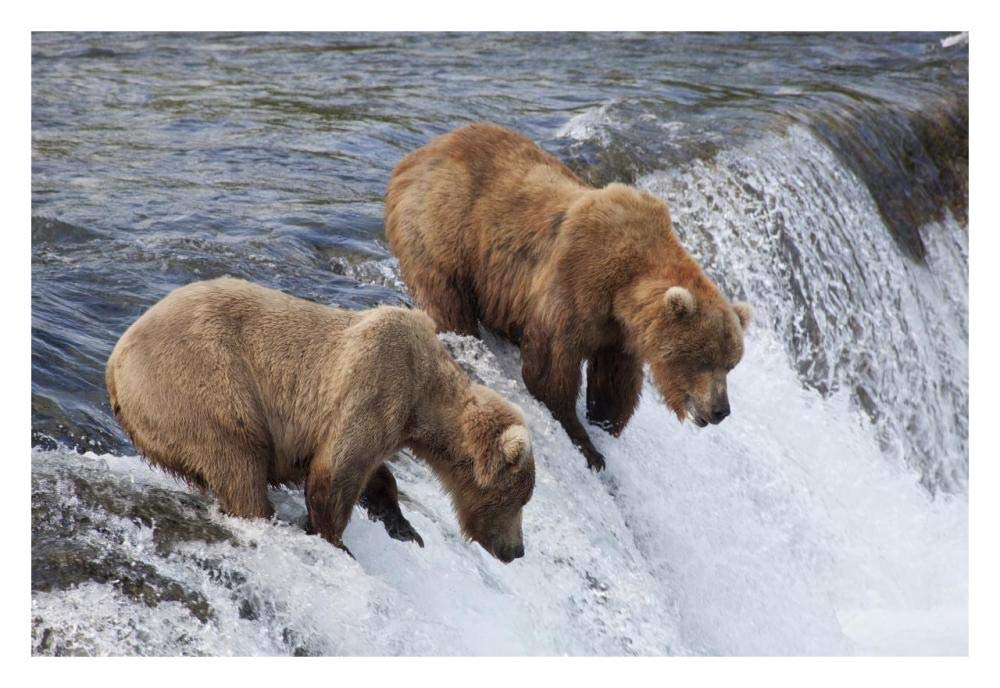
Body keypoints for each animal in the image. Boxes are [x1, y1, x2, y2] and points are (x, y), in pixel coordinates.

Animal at [106, 277, 535, 563]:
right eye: (519, 497)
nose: (516, 550)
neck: (423, 398)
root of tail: (114, 364)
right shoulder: (376, 384)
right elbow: (336, 471)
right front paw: (336, 541)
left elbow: (372, 473)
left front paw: (404, 528)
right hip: (201, 384)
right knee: (237, 458)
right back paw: (261, 513)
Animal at [385, 123, 751, 471]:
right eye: (703, 360)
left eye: (731, 364)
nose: (720, 410)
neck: (625, 286)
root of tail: (418, 154)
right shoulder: (576, 283)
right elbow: (549, 369)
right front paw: (588, 446)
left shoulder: (618, 333)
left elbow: (615, 382)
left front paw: (605, 424)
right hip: (444, 228)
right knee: (447, 298)